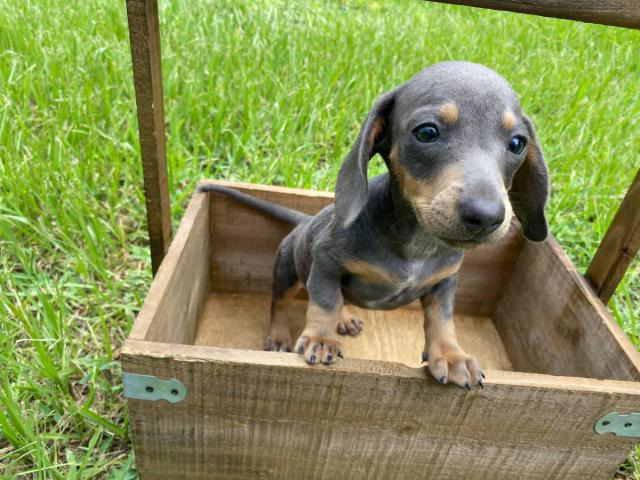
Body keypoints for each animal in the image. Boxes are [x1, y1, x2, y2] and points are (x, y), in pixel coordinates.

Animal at [198, 61, 548, 390]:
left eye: (517, 143)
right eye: (427, 133)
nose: (487, 216)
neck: (418, 245)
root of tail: (306, 220)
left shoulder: (445, 282)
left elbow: (442, 318)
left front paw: (450, 355)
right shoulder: (325, 262)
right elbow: (324, 301)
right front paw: (320, 338)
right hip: (286, 270)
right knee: (281, 302)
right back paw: (279, 334)